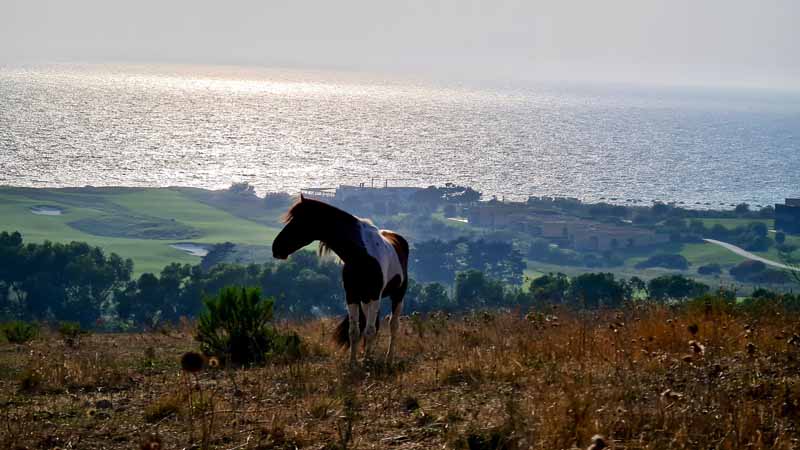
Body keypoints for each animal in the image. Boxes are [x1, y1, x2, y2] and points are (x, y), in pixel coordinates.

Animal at [272, 195, 410, 364]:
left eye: (299, 221)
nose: (276, 248)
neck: (360, 255)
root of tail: (399, 239)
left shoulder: (374, 296)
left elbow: (370, 331)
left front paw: (366, 363)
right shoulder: (352, 296)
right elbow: (355, 331)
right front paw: (353, 363)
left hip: (397, 295)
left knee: (393, 326)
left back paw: (388, 359)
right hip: (365, 300)